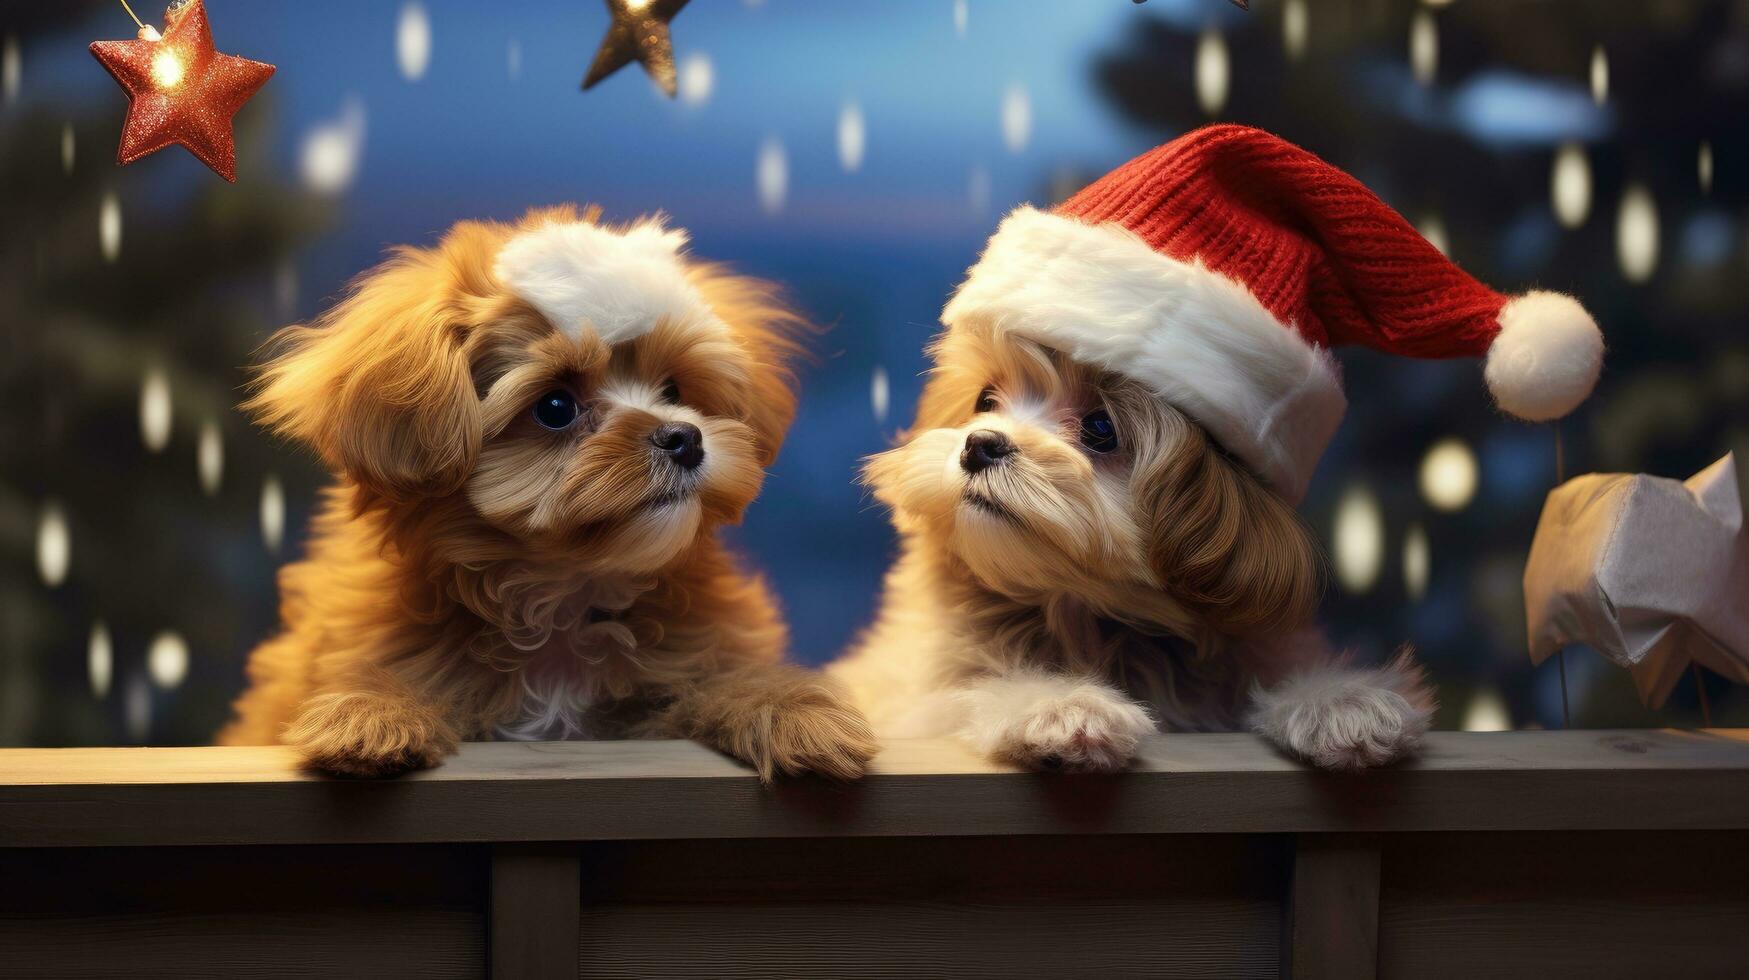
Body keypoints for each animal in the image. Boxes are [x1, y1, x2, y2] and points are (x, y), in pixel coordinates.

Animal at [218, 206, 874, 780]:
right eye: (555, 407)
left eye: (673, 388)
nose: (684, 438)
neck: (564, 602)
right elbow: (383, 678)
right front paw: (368, 714)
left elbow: (729, 682)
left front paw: (800, 715)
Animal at [825, 327, 1427, 773]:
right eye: (985, 400)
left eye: (1100, 428)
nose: (981, 443)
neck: (1083, 612)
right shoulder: (912, 701)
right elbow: (967, 692)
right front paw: (1059, 703)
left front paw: (1340, 701)